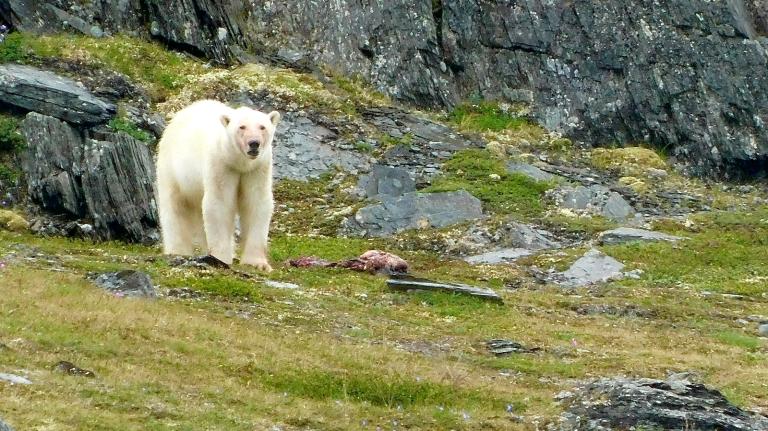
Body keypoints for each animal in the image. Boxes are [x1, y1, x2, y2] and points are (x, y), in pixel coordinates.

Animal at [155, 99, 281, 271]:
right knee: (175, 206)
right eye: (242, 127)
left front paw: (258, 263)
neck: (239, 163)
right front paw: (221, 258)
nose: (254, 143)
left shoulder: (257, 169)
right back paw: (178, 250)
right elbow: (220, 204)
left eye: (262, 127)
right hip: (173, 169)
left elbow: (256, 203)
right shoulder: (221, 164)